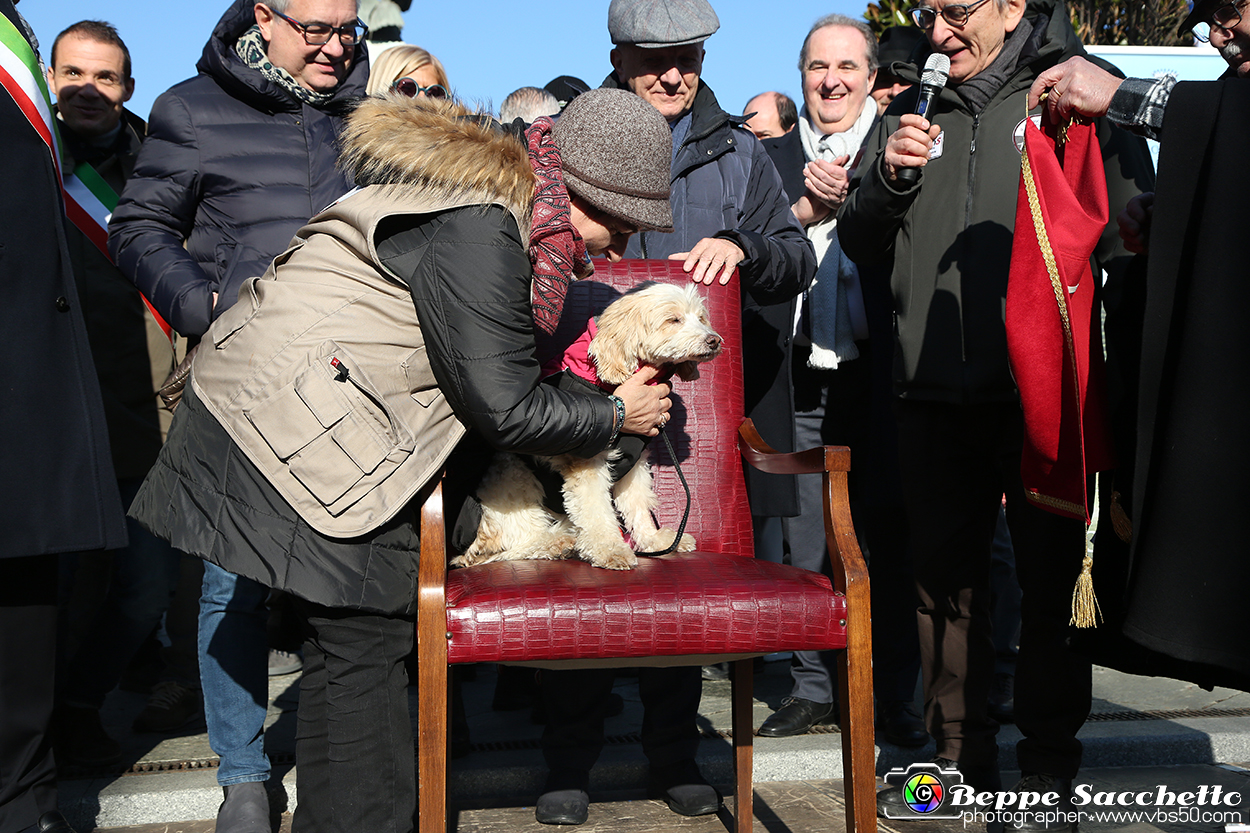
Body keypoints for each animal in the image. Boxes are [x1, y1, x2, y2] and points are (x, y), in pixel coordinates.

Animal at [455, 282, 725, 567]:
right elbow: (596, 511)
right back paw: (555, 543)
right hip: (515, 485)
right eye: (673, 320)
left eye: (701, 318)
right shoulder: (587, 463)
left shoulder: (634, 463)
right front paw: (610, 549)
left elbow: (638, 504)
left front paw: (654, 541)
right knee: (516, 543)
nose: (714, 340)